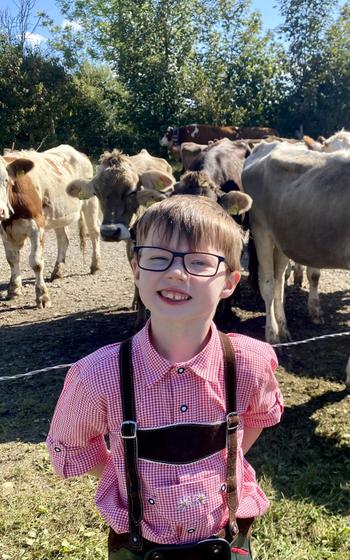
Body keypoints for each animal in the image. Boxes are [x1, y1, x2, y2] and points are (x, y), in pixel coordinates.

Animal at [1, 144, 100, 308]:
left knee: (94, 233)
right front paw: (14, 290)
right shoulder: (4, 231)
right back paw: (58, 271)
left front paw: (42, 296)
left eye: (6, 180)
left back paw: (95, 266)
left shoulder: (36, 225)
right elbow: (12, 259)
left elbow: (36, 262)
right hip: (60, 213)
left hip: (90, 201)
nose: (0, 211)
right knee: (63, 240)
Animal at [241, 141, 350, 390]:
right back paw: (272, 334)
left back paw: (284, 329)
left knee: (279, 281)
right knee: (267, 283)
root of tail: (265, 146)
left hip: (282, 238)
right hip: (261, 230)